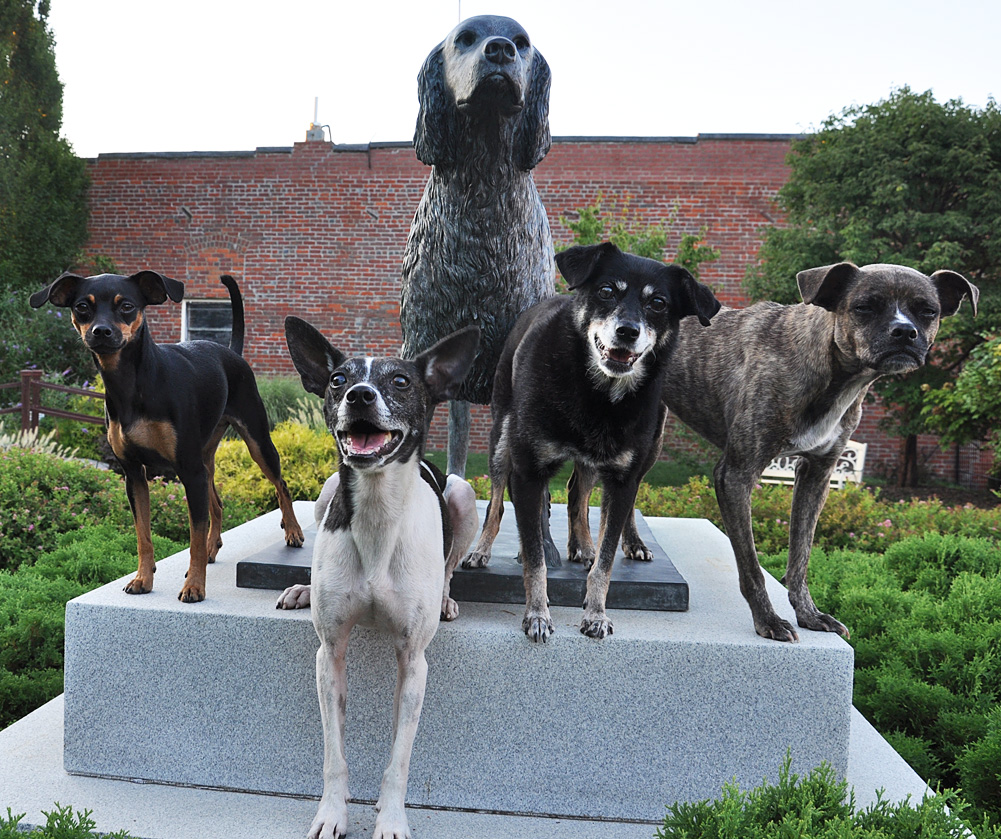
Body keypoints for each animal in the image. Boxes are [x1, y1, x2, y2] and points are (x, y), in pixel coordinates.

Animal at [29, 271, 304, 602]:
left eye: (127, 306)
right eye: (83, 306)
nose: (101, 331)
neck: (133, 385)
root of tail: (230, 351)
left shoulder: (188, 470)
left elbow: (193, 537)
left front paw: (195, 586)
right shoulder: (134, 475)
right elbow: (143, 536)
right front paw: (143, 579)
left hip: (256, 441)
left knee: (281, 485)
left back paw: (293, 532)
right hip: (205, 459)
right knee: (217, 503)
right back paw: (213, 548)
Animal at [277, 317, 480, 839]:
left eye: (401, 381)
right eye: (337, 379)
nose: (360, 395)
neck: (376, 513)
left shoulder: (414, 662)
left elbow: (399, 760)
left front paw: (390, 820)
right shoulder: (329, 654)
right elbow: (334, 754)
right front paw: (331, 813)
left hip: (465, 494)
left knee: (452, 562)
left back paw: (447, 597)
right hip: (325, 491)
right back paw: (300, 588)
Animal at [463, 242, 720, 642]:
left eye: (658, 303)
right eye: (606, 291)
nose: (627, 331)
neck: (596, 394)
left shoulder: (622, 477)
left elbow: (606, 556)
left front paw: (596, 613)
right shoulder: (528, 470)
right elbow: (534, 557)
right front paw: (537, 614)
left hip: (645, 450)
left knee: (581, 495)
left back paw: (597, 544)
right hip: (501, 438)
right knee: (496, 501)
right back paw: (482, 550)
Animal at [656, 261, 979, 642]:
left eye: (927, 311)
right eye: (864, 306)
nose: (904, 332)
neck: (834, 376)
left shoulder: (817, 476)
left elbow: (800, 556)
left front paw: (808, 614)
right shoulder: (736, 475)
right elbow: (752, 566)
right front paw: (768, 619)